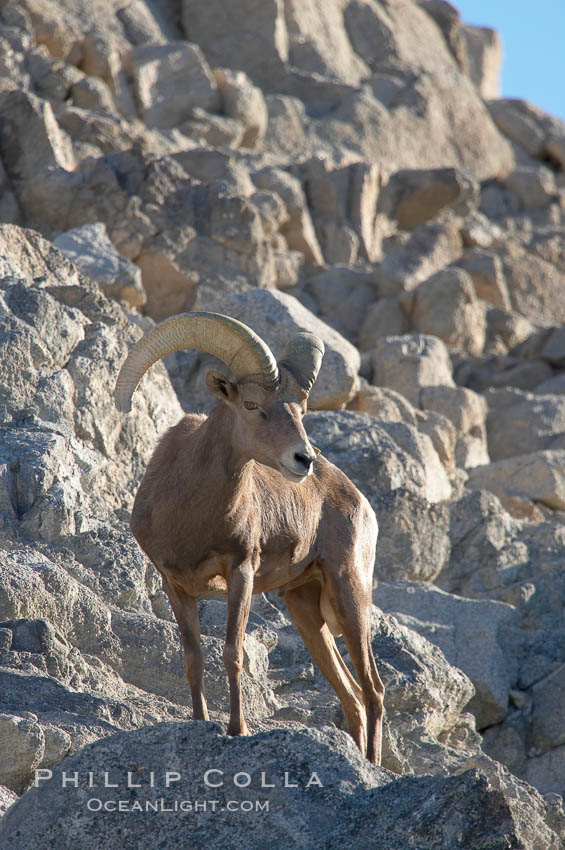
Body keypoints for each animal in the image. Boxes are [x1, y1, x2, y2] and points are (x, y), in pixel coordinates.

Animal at [117, 310, 386, 760]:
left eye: (301, 409)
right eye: (251, 404)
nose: (304, 459)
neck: (190, 513)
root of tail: (358, 499)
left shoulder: (240, 572)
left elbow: (232, 654)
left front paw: (237, 729)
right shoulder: (175, 585)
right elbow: (193, 659)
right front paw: (199, 723)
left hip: (350, 594)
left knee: (373, 691)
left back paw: (375, 766)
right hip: (305, 609)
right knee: (350, 695)